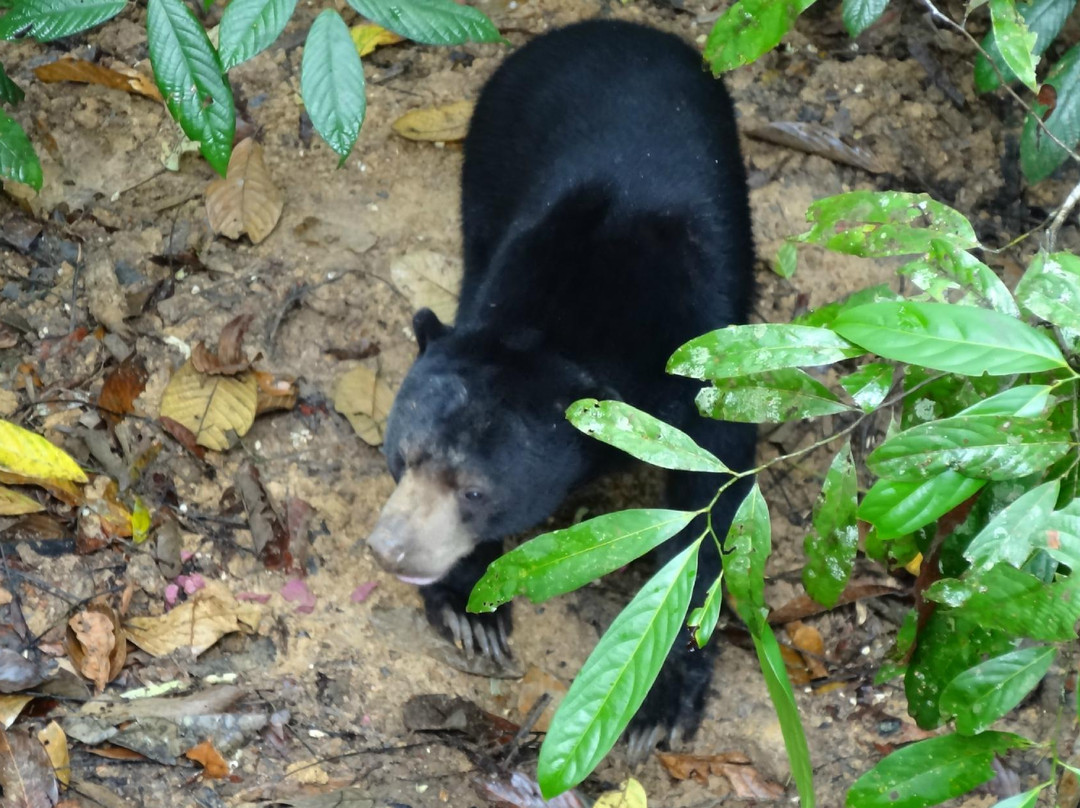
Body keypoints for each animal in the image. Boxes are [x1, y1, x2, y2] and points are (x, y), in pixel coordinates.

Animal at [367, 18, 756, 759]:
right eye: (401, 459)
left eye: (476, 491)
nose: (390, 550)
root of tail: (604, 25)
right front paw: (470, 611)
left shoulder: (700, 348)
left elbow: (713, 494)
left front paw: (658, 704)